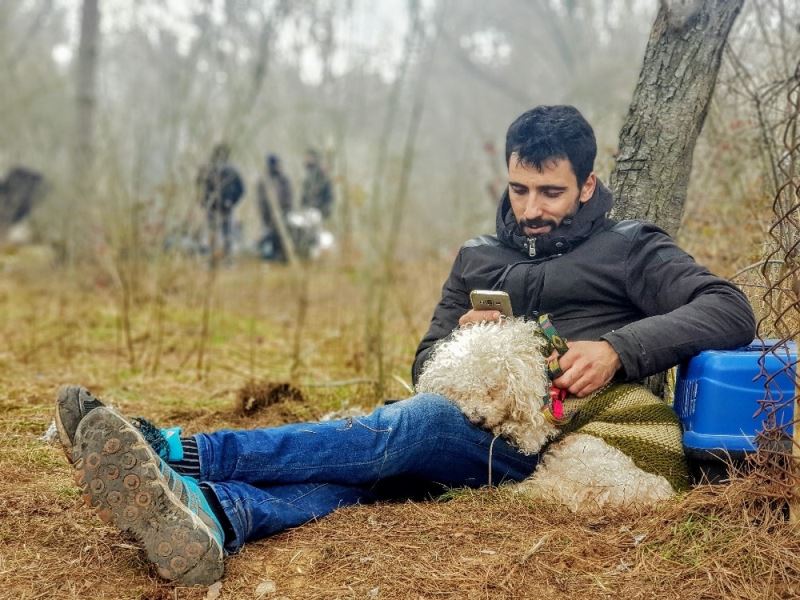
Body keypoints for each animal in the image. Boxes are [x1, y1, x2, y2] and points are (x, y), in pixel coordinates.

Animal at [412, 318, 688, 510]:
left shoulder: (536, 431)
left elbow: (524, 432)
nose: (477, 419)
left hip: (583, 454)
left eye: (493, 389)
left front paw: (506, 427)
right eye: (459, 393)